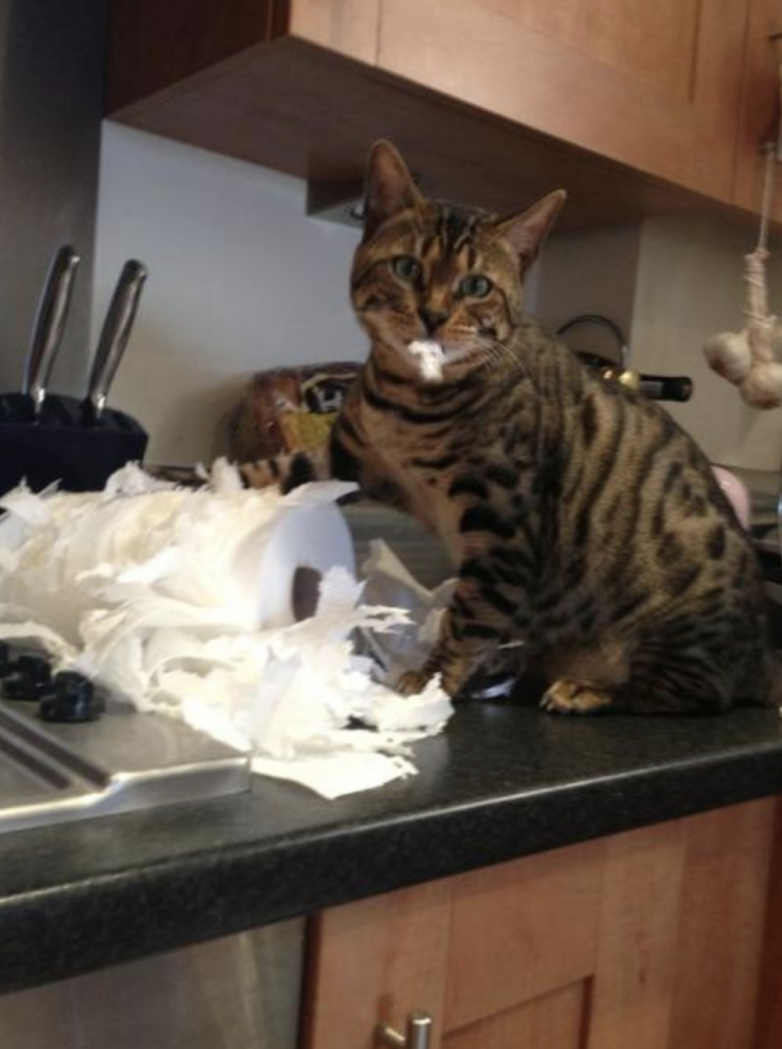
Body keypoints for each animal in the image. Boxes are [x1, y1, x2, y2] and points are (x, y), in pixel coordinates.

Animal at [240, 139, 777, 714]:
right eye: (406, 267)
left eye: (476, 285)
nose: (432, 314)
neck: (409, 400)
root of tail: (762, 657)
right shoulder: (346, 459)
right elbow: (266, 473)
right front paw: (205, 493)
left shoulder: (504, 528)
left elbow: (470, 616)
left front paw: (432, 679)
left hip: (674, 627)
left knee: (690, 692)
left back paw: (584, 688)